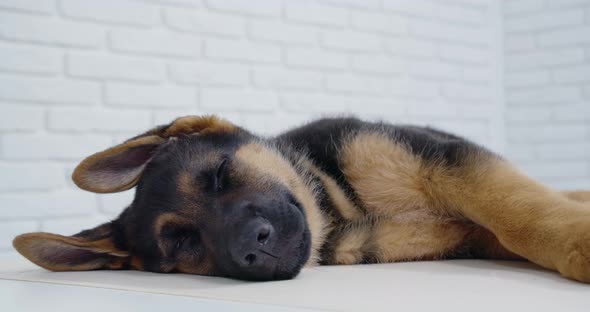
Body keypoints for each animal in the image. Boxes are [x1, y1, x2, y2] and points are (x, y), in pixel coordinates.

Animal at [10, 116, 590, 282]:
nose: (252, 245)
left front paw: (577, 242)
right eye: (181, 243)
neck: (337, 209)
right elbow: (518, 222)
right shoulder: (469, 232)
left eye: (220, 175)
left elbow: (520, 212)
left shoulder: (449, 161)